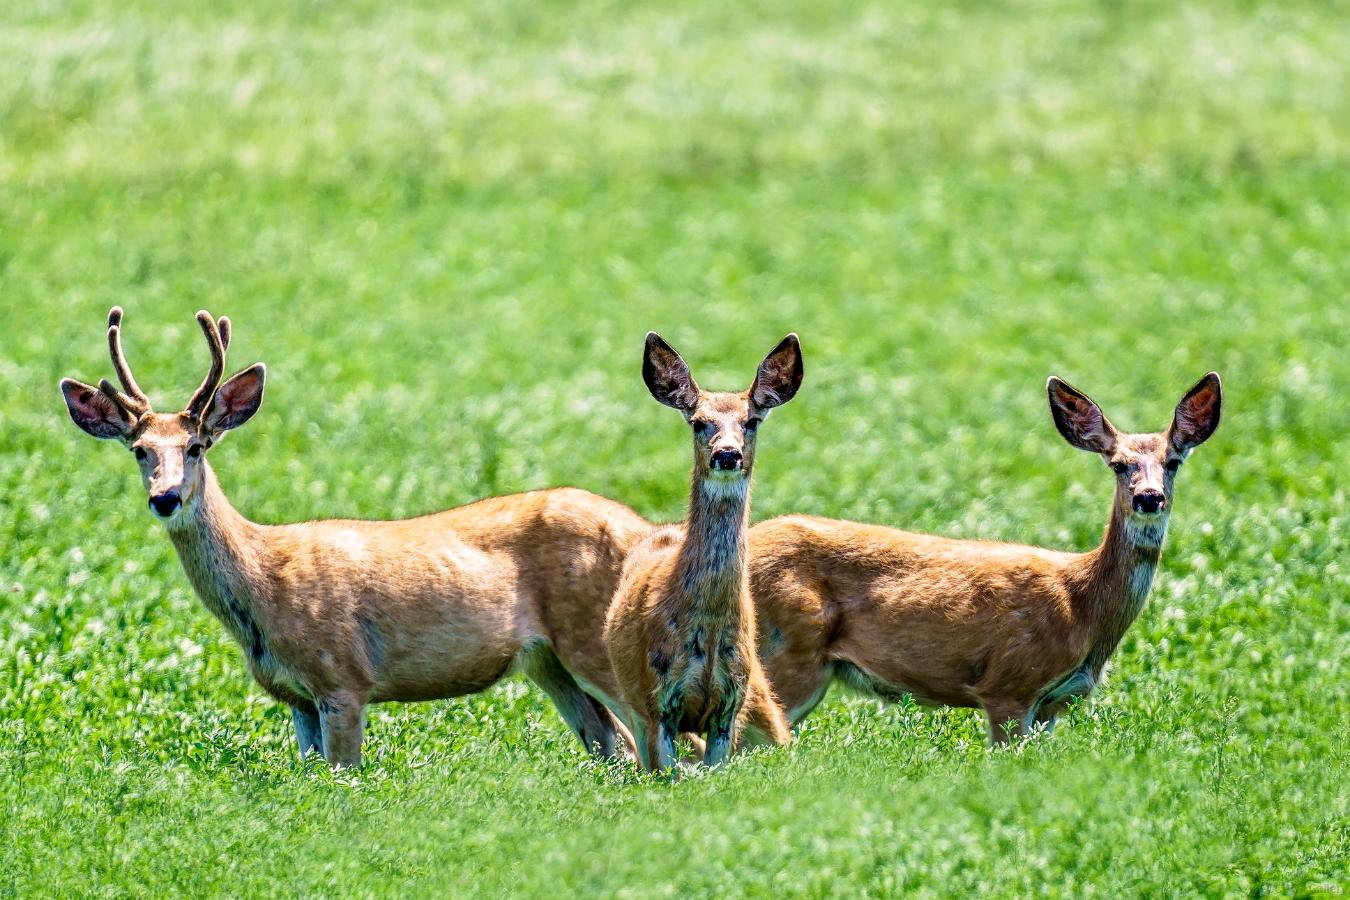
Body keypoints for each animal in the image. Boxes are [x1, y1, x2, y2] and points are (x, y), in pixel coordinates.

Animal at [59, 310, 653, 766]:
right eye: (140, 451)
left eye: (197, 445)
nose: (166, 498)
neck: (262, 584)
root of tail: (644, 529)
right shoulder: (295, 697)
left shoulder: (342, 678)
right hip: (548, 661)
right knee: (612, 743)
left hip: (594, 637)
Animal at [604, 334, 799, 771]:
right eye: (697, 422)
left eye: (752, 420)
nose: (726, 454)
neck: (707, 627)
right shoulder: (657, 702)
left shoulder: (730, 704)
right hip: (632, 702)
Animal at [750, 372, 1225, 744]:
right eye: (1119, 464)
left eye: (1174, 461)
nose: (1149, 497)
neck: (1082, 608)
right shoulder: (1009, 684)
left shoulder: (1052, 705)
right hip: (785, 655)